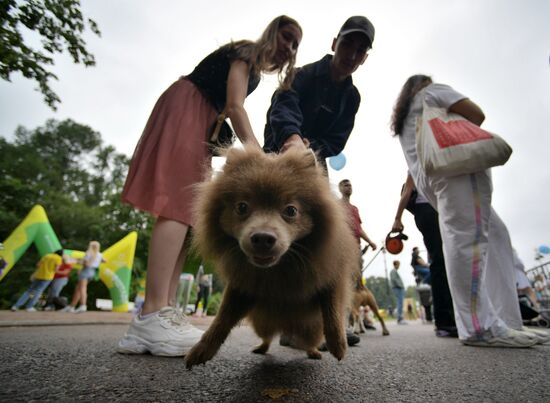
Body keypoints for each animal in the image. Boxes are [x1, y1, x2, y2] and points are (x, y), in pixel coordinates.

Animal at [185, 146, 358, 370]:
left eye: (291, 210)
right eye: (242, 207)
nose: (262, 238)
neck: (279, 269)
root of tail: (285, 326)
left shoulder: (329, 276)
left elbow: (332, 311)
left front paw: (338, 344)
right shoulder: (241, 288)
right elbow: (221, 320)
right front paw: (202, 349)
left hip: (310, 330)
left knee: (309, 342)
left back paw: (313, 351)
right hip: (262, 324)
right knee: (267, 337)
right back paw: (261, 347)